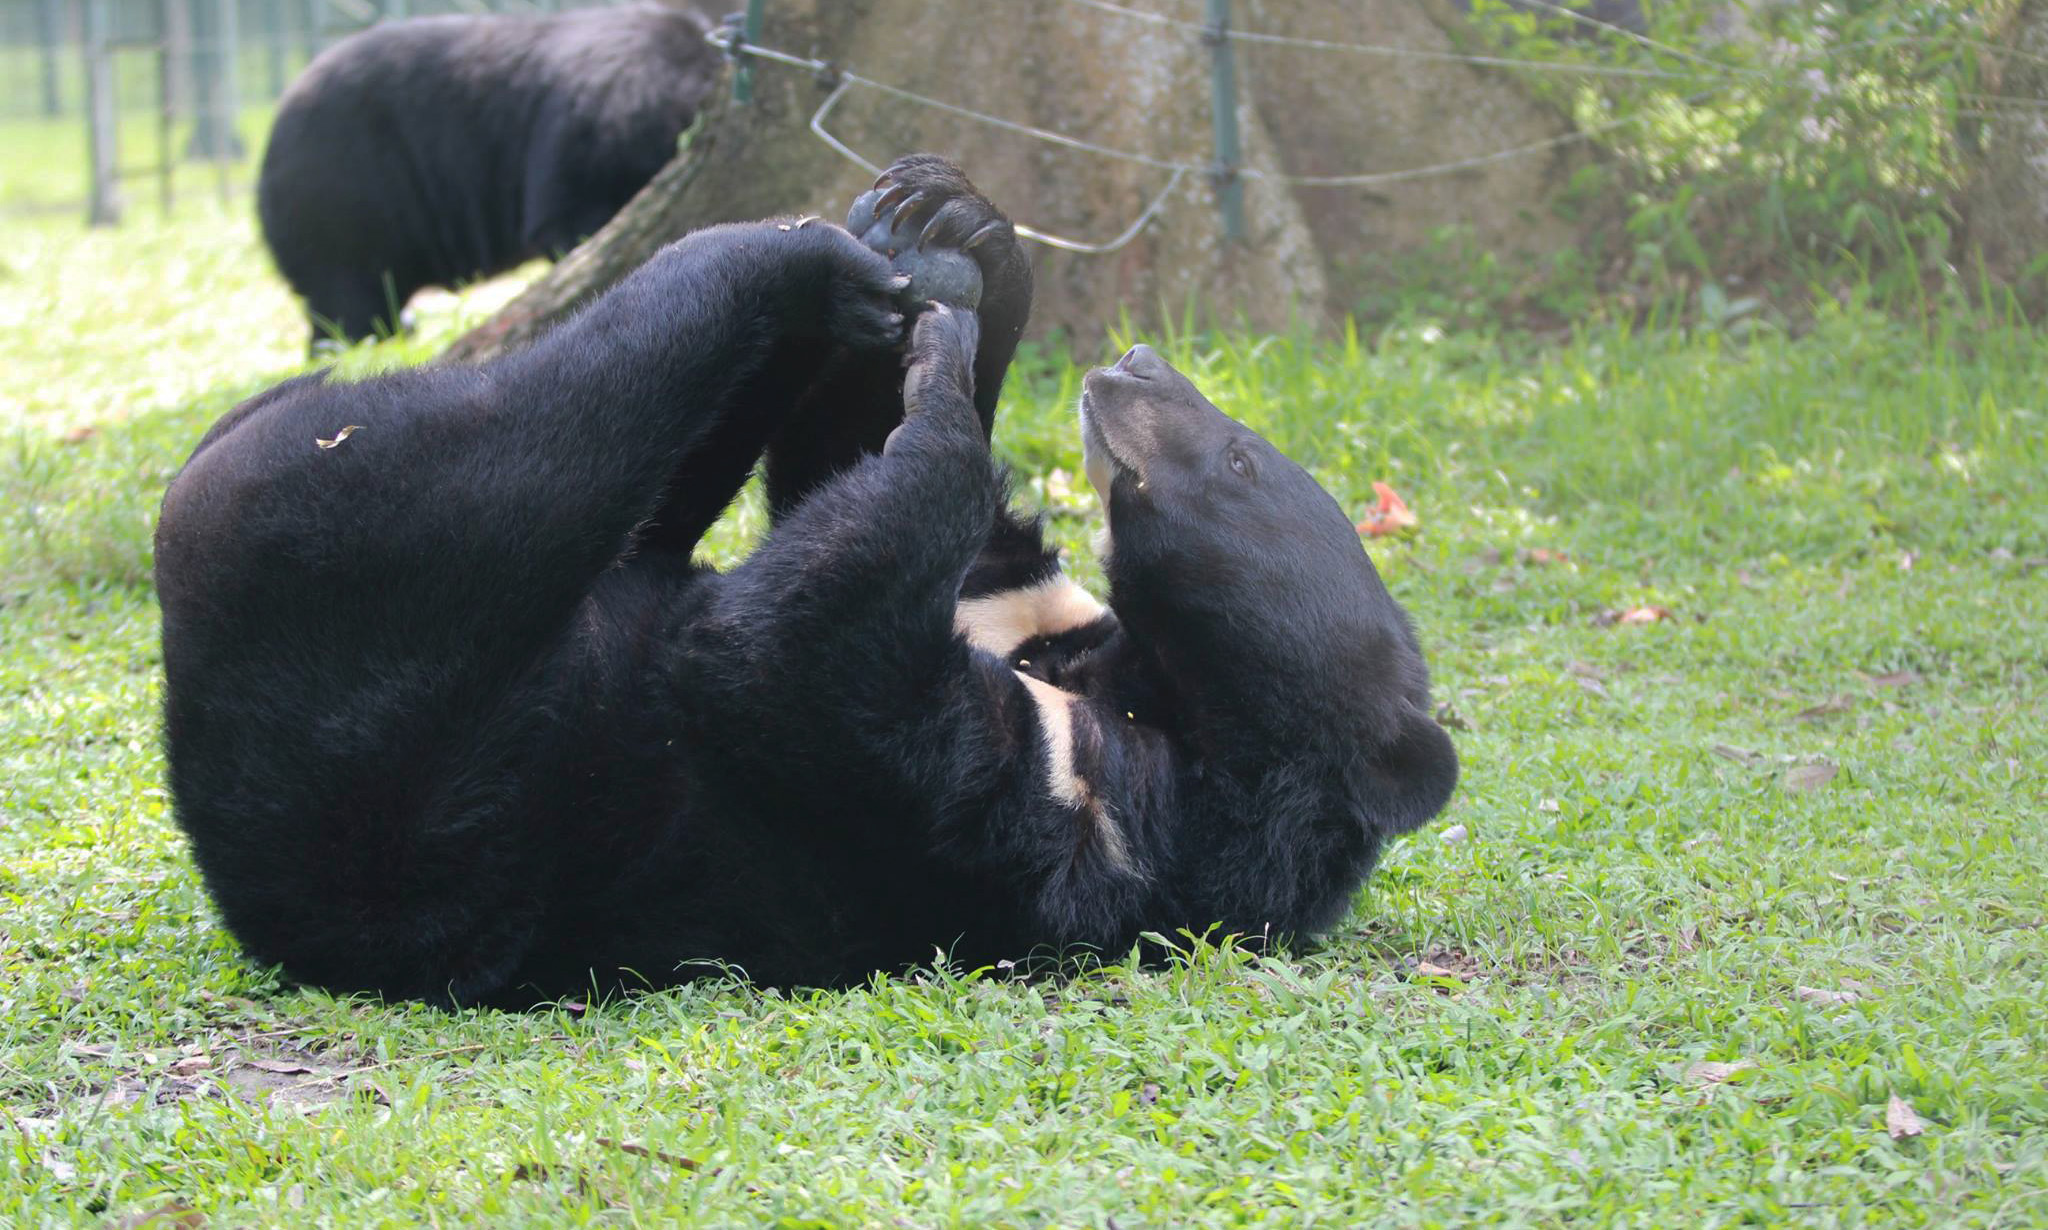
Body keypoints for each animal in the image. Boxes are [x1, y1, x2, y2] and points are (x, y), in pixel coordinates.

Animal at [155, 155, 1458, 1008]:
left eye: (1238, 460)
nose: (1133, 362)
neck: (1147, 694)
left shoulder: (1048, 814)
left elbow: (785, 656)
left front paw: (942, 369)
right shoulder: (1025, 631)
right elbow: (892, 519)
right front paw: (967, 240)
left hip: (357, 610)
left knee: (551, 430)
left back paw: (784, 257)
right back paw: (884, 244)